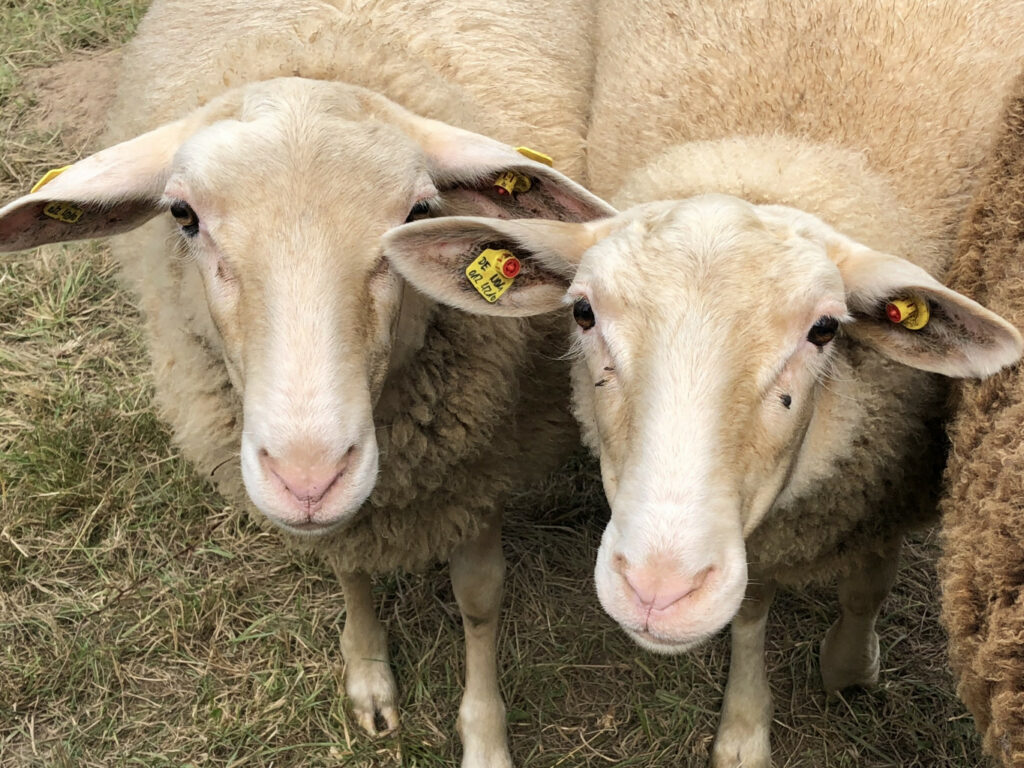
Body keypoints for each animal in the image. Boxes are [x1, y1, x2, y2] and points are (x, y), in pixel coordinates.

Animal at [0, 3, 610, 765]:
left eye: (418, 213)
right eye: (183, 216)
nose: (309, 480)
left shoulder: (483, 465)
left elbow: (478, 598)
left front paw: (484, 736)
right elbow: (347, 569)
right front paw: (369, 677)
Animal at [376, 3, 1024, 765]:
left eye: (824, 329)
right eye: (582, 312)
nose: (660, 593)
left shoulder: (897, 475)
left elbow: (872, 576)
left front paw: (849, 664)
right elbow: (751, 606)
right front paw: (745, 727)